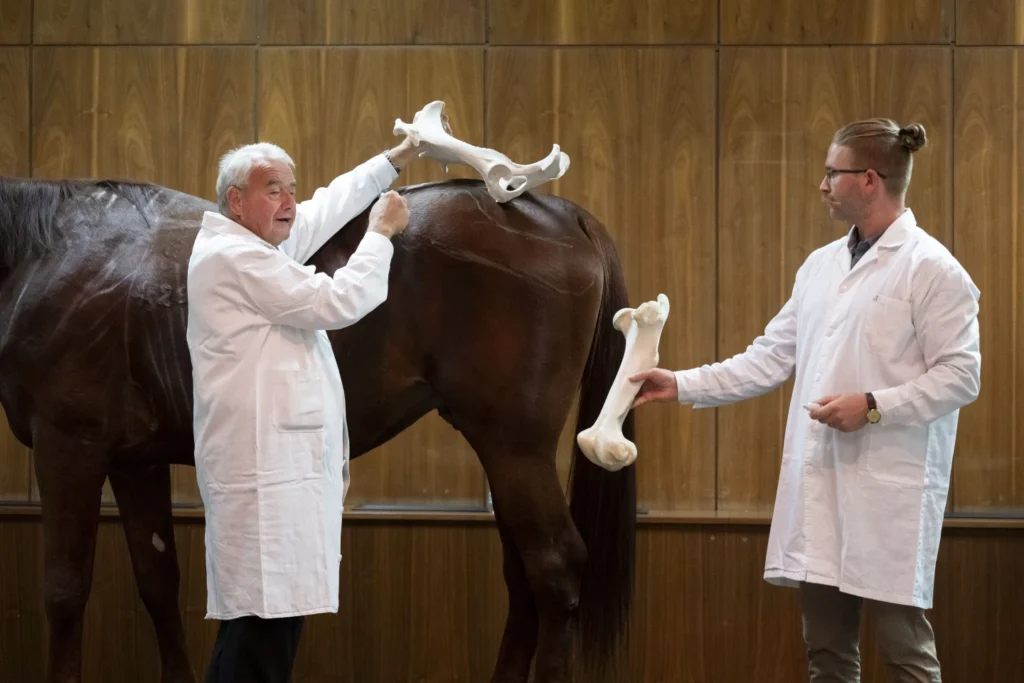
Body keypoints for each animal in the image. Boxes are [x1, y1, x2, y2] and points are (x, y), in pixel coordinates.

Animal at [0, 176, 634, 683]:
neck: (52, 253)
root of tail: (556, 210)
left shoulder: (69, 446)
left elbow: (64, 590)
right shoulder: (136, 461)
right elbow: (158, 582)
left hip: (515, 448)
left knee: (555, 568)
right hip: (504, 453)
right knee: (523, 575)